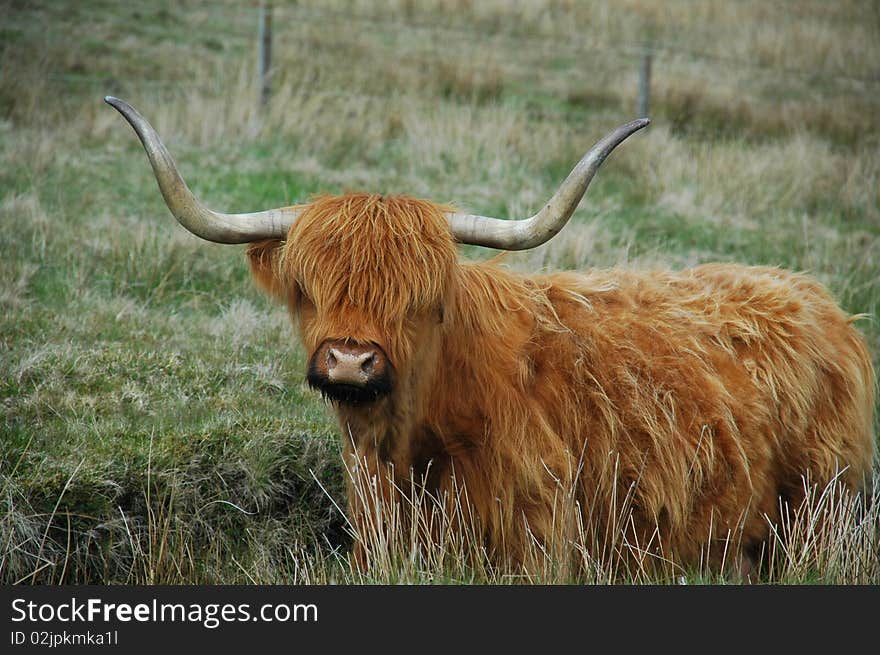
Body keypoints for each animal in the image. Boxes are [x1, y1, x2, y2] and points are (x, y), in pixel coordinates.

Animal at [106, 95, 876, 576]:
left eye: (418, 301)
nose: (350, 361)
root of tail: (819, 300)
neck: (408, 444)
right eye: (307, 289)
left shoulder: (540, 537)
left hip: (821, 512)